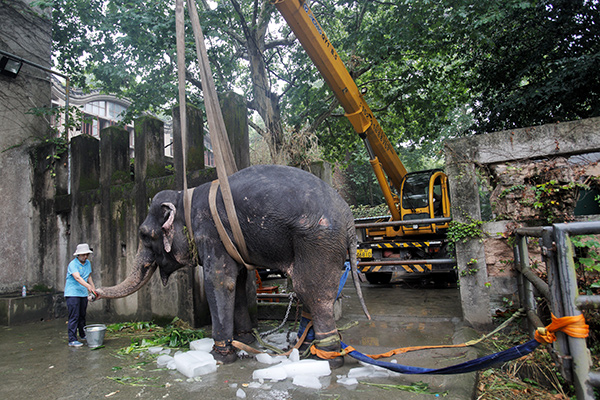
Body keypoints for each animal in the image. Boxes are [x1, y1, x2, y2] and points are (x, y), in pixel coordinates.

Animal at [94, 164, 368, 368]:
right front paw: (246, 341)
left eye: (143, 235)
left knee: (311, 291)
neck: (185, 196)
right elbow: (238, 281)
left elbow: (219, 282)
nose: (93, 292)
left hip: (318, 242)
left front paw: (220, 356)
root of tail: (348, 218)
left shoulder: (210, 233)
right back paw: (309, 351)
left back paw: (327, 358)